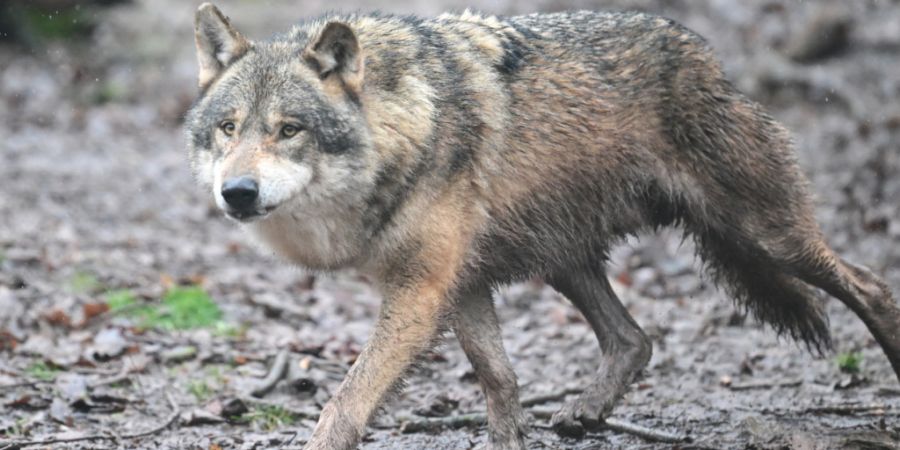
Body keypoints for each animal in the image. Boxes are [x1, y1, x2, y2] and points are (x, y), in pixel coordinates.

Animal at [185, 3, 900, 449]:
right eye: (229, 128)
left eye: (289, 130)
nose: (237, 192)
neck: (404, 128)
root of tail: (706, 55)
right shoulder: (461, 283)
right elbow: (500, 379)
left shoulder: (420, 292)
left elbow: (347, 401)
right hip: (563, 258)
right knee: (634, 338)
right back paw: (585, 412)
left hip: (765, 236)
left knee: (871, 285)